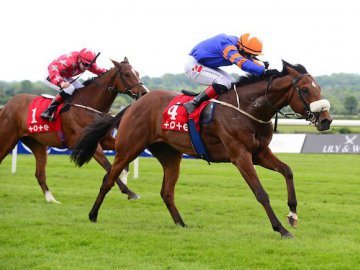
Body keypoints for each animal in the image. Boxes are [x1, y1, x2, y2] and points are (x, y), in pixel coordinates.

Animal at [0, 58, 149, 204]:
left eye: (137, 73)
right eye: (127, 74)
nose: (144, 92)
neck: (89, 105)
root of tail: (6, 106)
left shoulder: (104, 140)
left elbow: (123, 157)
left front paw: (123, 176)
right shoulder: (91, 145)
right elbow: (108, 165)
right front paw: (129, 192)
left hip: (37, 144)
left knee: (40, 173)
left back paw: (51, 199)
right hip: (7, 139)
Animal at [71, 60, 334, 236]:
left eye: (319, 88)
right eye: (305, 90)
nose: (326, 120)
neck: (248, 108)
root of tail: (134, 104)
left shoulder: (260, 153)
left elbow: (288, 170)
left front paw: (292, 214)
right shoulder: (240, 156)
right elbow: (261, 193)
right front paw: (280, 228)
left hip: (170, 155)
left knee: (166, 192)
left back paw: (181, 223)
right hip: (128, 148)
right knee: (108, 179)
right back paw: (93, 215)